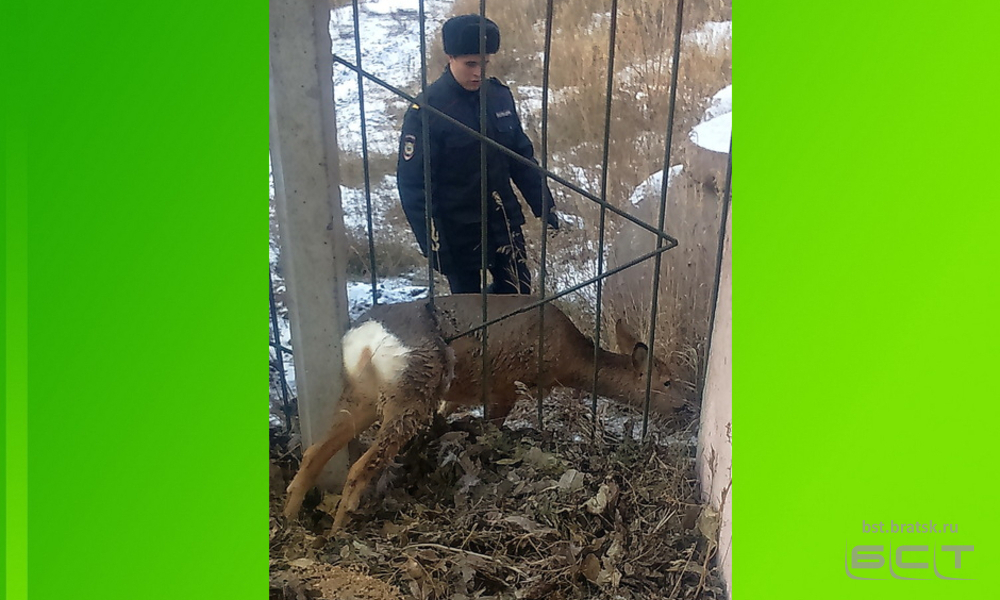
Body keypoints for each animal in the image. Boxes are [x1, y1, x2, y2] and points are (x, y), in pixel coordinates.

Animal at [282, 294, 680, 532]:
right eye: (668, 381)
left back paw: (290, 518)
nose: (686, 406)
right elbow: (492, 430)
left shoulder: (463, 394)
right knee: (360, 465)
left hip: (363, 395)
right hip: (411, 391)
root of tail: (365, 339)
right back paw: (339, 529)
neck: (569, 362)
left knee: (314, 451)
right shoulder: (505, 388)